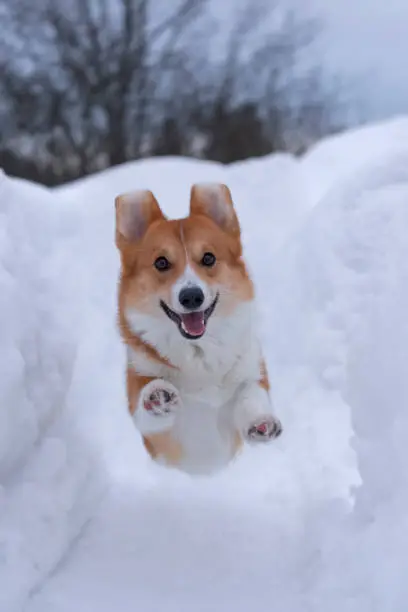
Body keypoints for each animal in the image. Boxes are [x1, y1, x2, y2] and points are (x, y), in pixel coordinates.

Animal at [115, 184, 280, 476]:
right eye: (161, 262)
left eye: (208, 258)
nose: (191, 296)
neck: (199, 353)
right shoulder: (161, 440)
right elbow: (147, 410)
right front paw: (157, 396)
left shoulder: (251, 368)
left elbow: (250, 392)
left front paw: (261, 422)